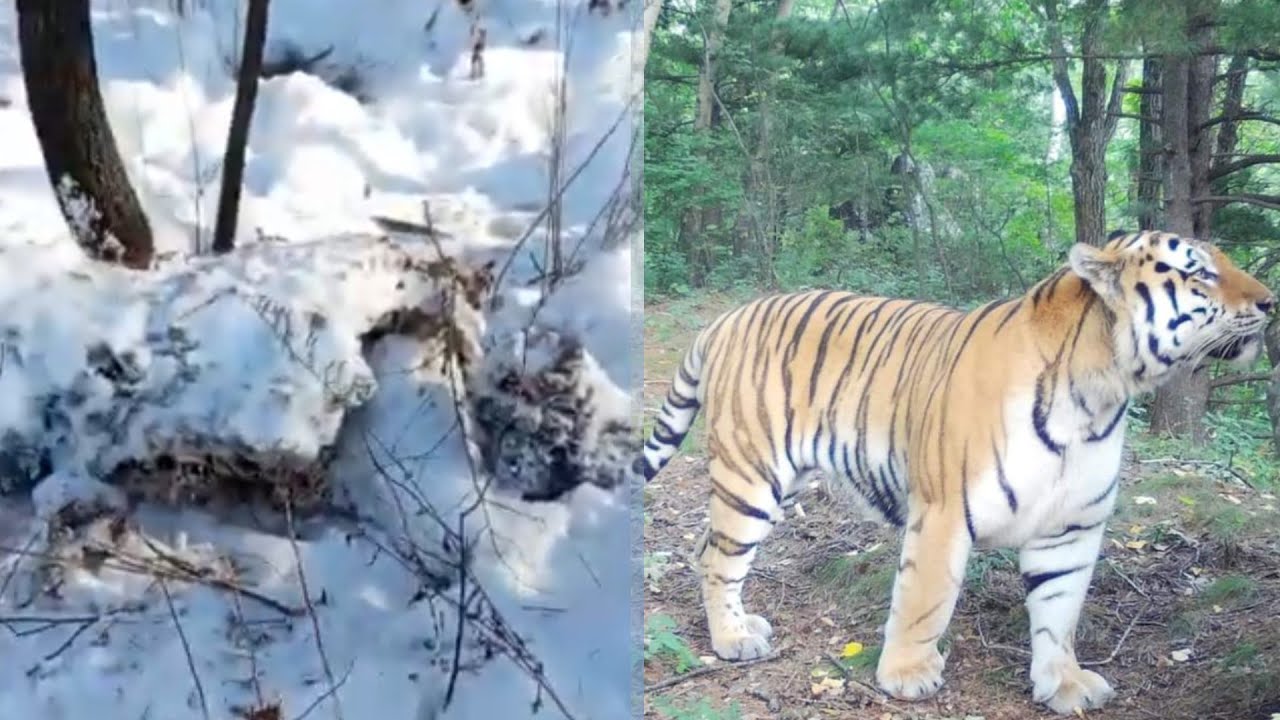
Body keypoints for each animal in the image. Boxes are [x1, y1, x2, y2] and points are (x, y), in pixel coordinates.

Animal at [640, 230, 1275, 714]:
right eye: (1201, 274)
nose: (1271, 302)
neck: (1101, 395)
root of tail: (725, 319)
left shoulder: (1071, 528)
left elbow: (1060, 612)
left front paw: (1064, 683)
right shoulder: (945, 511)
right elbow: (926, 598)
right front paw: (906, 674)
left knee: (705, 545)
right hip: (752, 474)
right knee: (720, 557)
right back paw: (732, 639)